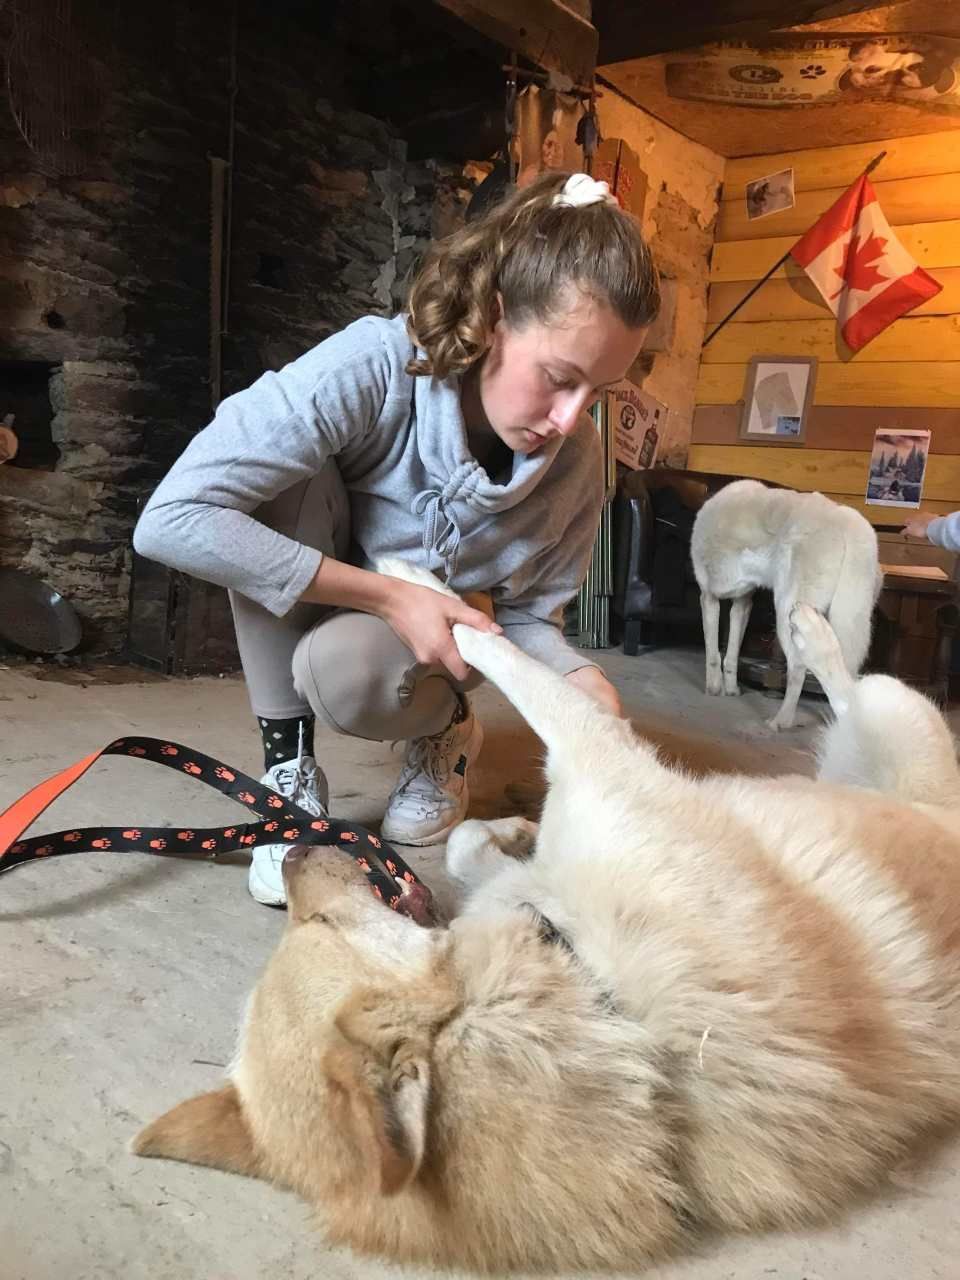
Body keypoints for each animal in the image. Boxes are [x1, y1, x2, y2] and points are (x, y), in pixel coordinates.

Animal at [133, 558, 960, 1269]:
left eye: (319, 924)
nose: (300, 849)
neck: (601, 999)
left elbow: (488, 692)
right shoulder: (601, 764)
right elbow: (491, 670)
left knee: (851, 685)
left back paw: (808, 626)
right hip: (894, 724)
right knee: (852, 688)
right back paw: (807, 628)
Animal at [691, 481, 885, 732]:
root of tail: (845, 518)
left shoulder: (708, 597)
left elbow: (713, 652)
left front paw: (713, 689)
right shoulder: (743, 603)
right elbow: (731, 654)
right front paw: (731, 690)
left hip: (788, 617)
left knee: (798, 672)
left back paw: (780, 721)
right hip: (843, 626)